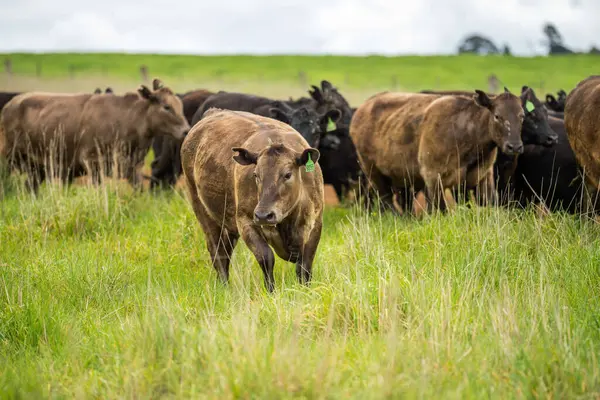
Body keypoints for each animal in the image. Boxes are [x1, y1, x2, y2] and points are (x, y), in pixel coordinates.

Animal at [0, 79, 189, 191]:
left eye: (180, 105)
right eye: (166, 107)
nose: (186, 130)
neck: (126, 119)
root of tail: (10, 105)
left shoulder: (132, 167)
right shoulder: (92, 163)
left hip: (37, 169)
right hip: (7, 159)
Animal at [180, 108, 324, 290]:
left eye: (287, 174)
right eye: (256, 175)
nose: (264, 215)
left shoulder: (315, 223)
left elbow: (305, 265)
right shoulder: (246, 220)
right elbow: (266, 257)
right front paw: (271, 291)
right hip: (202, 209)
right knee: (218, 252)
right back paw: (224, 287)